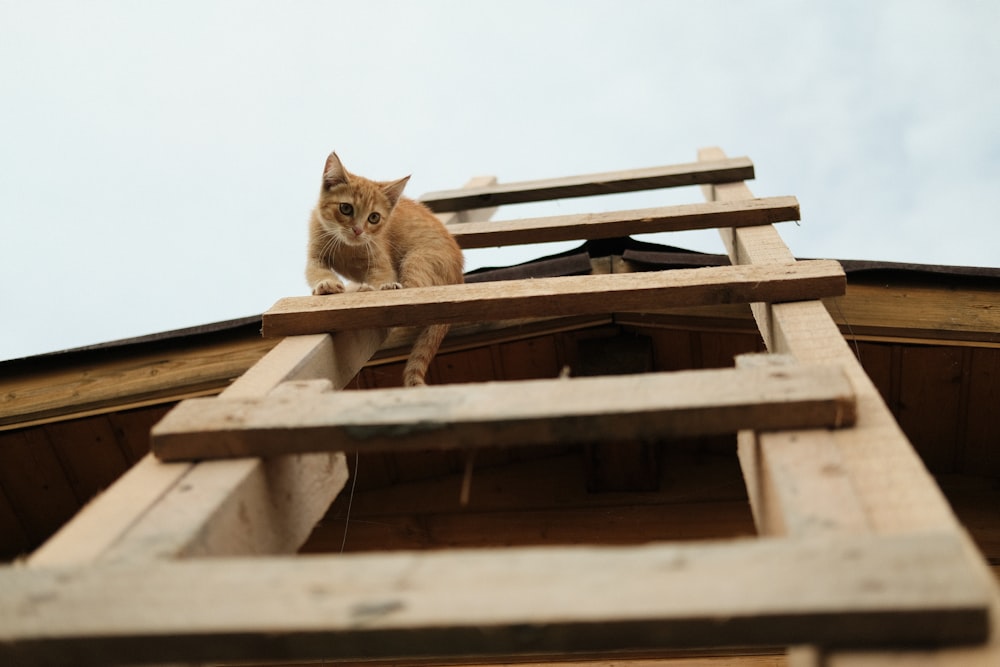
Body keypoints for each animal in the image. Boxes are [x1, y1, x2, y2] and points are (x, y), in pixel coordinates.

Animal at [304, 151, 464, 386]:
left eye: (374, 217)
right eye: (345, 208)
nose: (358, 230)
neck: (348, 248)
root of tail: (460, 276)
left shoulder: (380, 257)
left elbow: (382, 275)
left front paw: (377, 286)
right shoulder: (315, 254)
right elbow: (316, 271)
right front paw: (327, 284)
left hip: (418, 259)